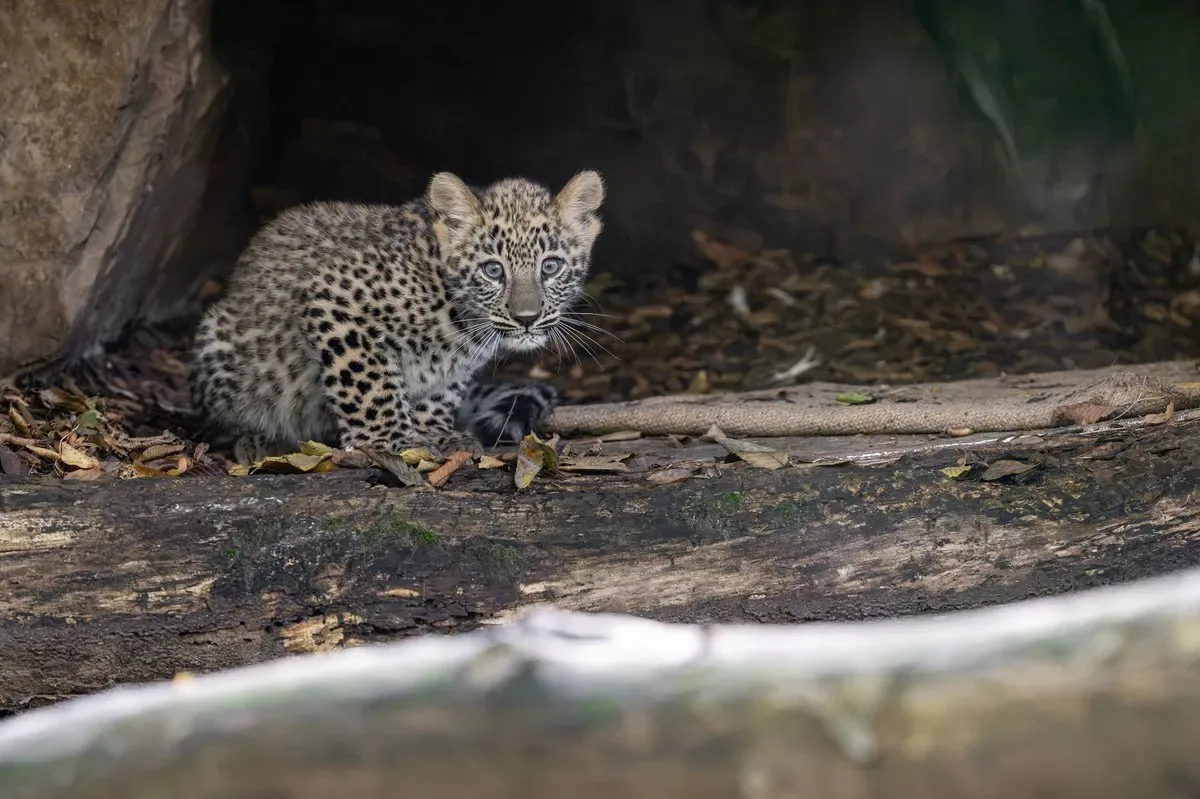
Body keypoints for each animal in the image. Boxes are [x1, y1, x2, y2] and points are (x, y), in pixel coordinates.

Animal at [188, 169, 605, 463]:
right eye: (492, 270)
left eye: (550, 266)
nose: (526, 318)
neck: (460, 320)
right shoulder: (334, 300)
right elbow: (370, 383)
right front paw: (386, 441)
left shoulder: (452, 367)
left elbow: (438, 394)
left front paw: (433, 435)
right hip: (220, 344)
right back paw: (261, 439)